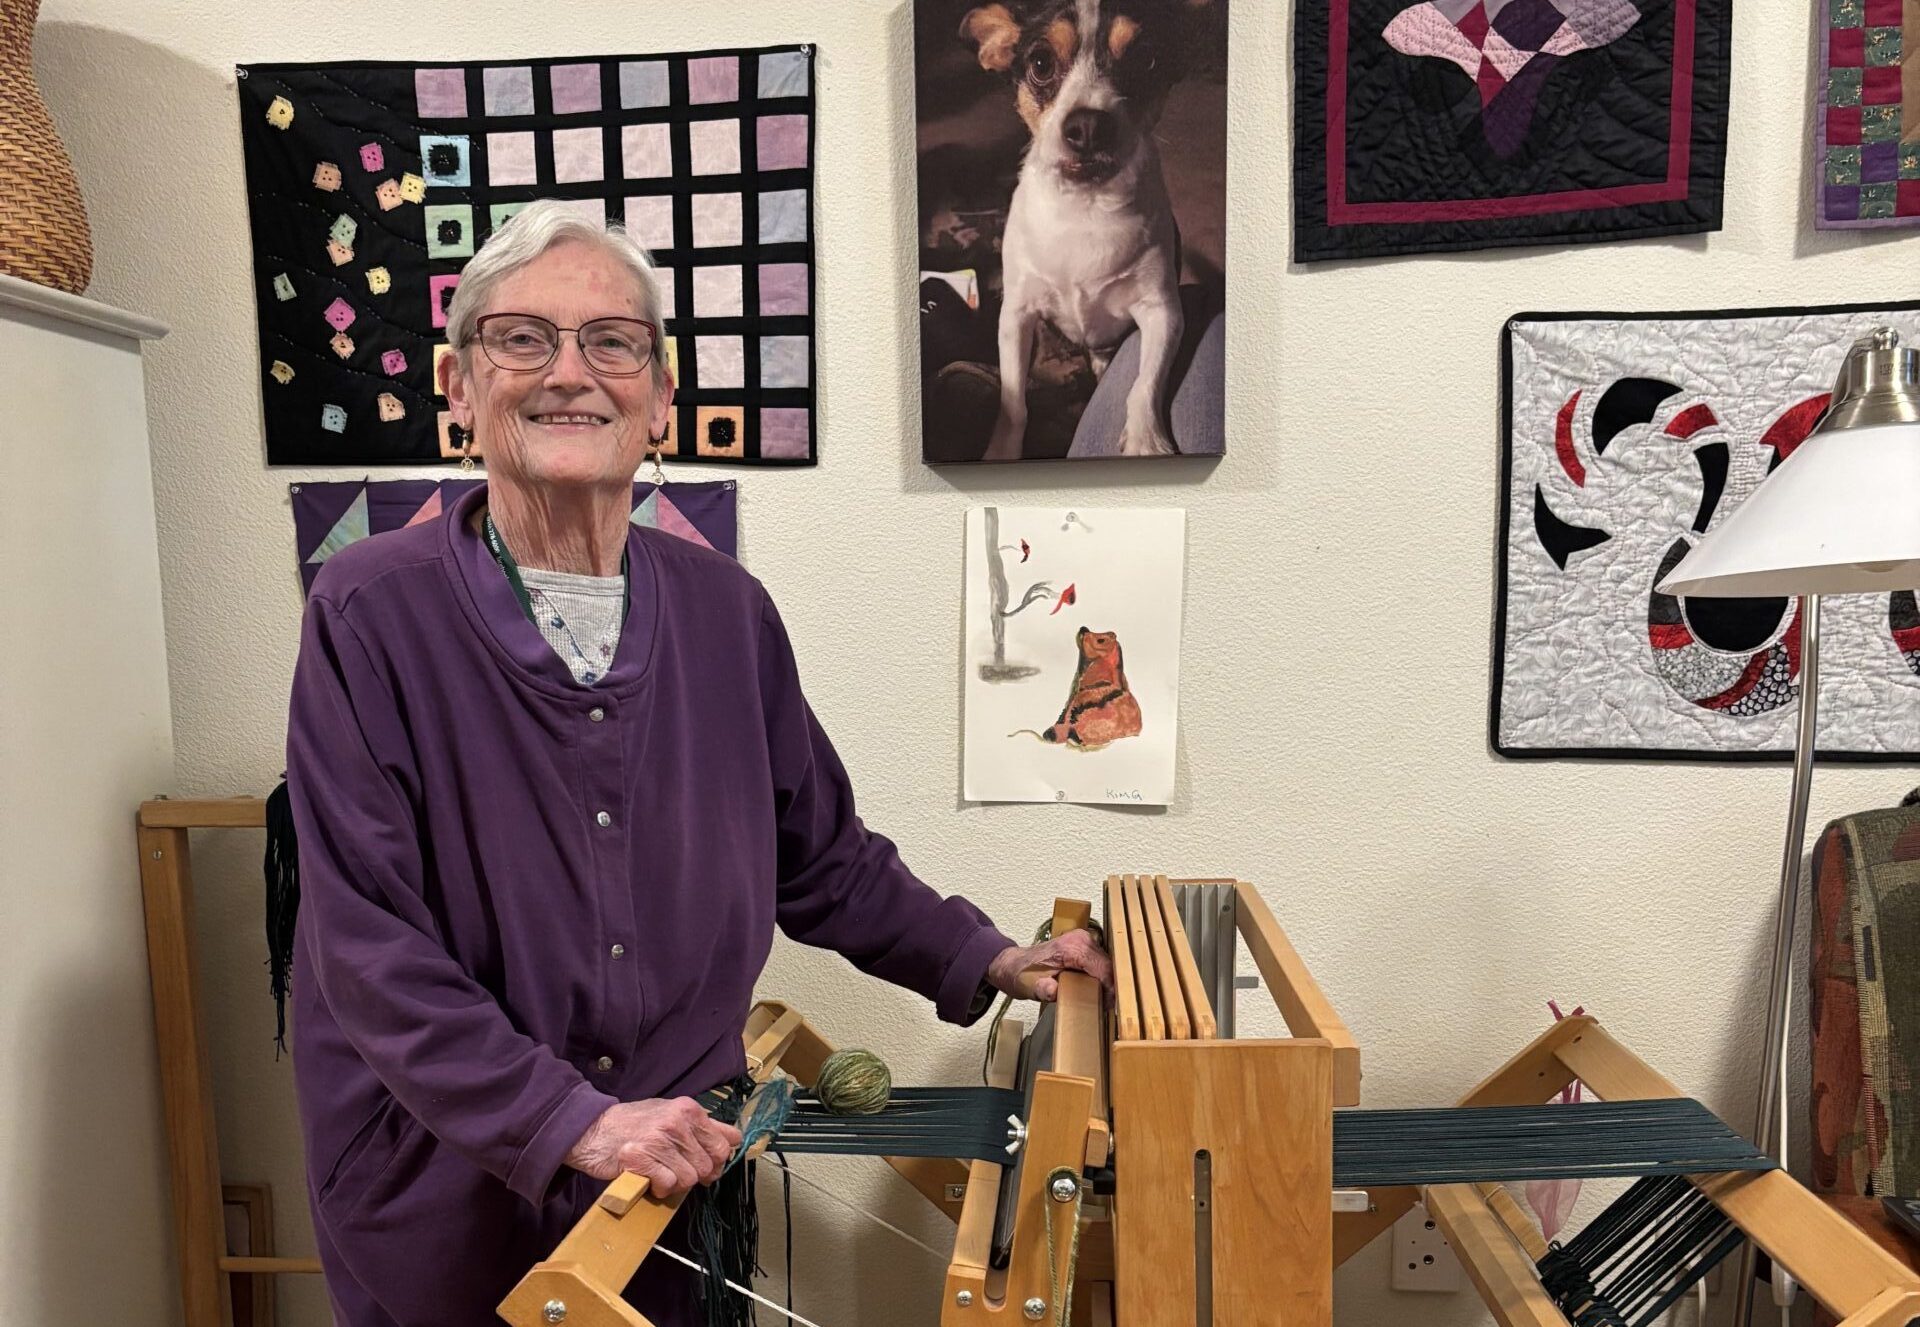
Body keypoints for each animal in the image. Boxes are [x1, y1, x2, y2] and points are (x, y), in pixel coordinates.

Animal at [960, 0, 1213, 462]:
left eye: (1146, 60)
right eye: (1041, 63)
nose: (1089, 126)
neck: (1085, 208)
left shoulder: (1162, 313)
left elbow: (1143, 383)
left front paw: (1146, 440)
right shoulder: (1016, 316)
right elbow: (1013, 400)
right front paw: (1002, 451)